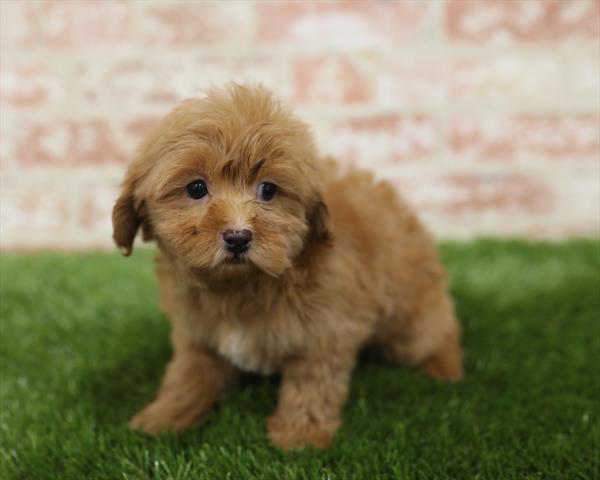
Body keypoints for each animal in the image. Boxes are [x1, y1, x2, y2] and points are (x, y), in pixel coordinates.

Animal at [115, 83, 466, 450]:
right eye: (196, 188)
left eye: (268, 190)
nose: (238, 237)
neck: (240, 286)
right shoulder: (198, 330)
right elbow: (189, 372)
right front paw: (164, 415)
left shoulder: (326, 327)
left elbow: (311, 382)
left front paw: (301, 435)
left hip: (409, 314)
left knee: (436, 333)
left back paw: (444, 368)